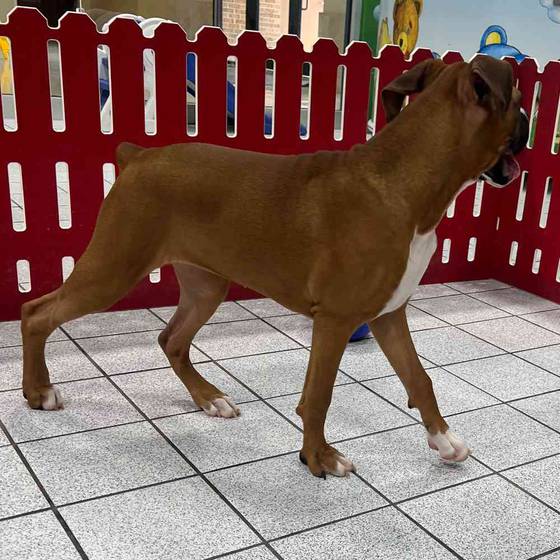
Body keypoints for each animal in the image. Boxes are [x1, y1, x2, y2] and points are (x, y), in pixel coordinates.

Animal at [21, 55, 529, 478]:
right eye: (520, 103)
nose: (529, 123)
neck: (402, 182)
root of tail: (139, 155)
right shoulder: (335, 321)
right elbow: (319, 396)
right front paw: (318, 457)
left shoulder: (388, 317)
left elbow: (419, 379)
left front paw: (444, 441)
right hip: (112, 270)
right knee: (37, 313)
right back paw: (38, 391)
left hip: (206, 286)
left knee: (172, 340)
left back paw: (210, 398)